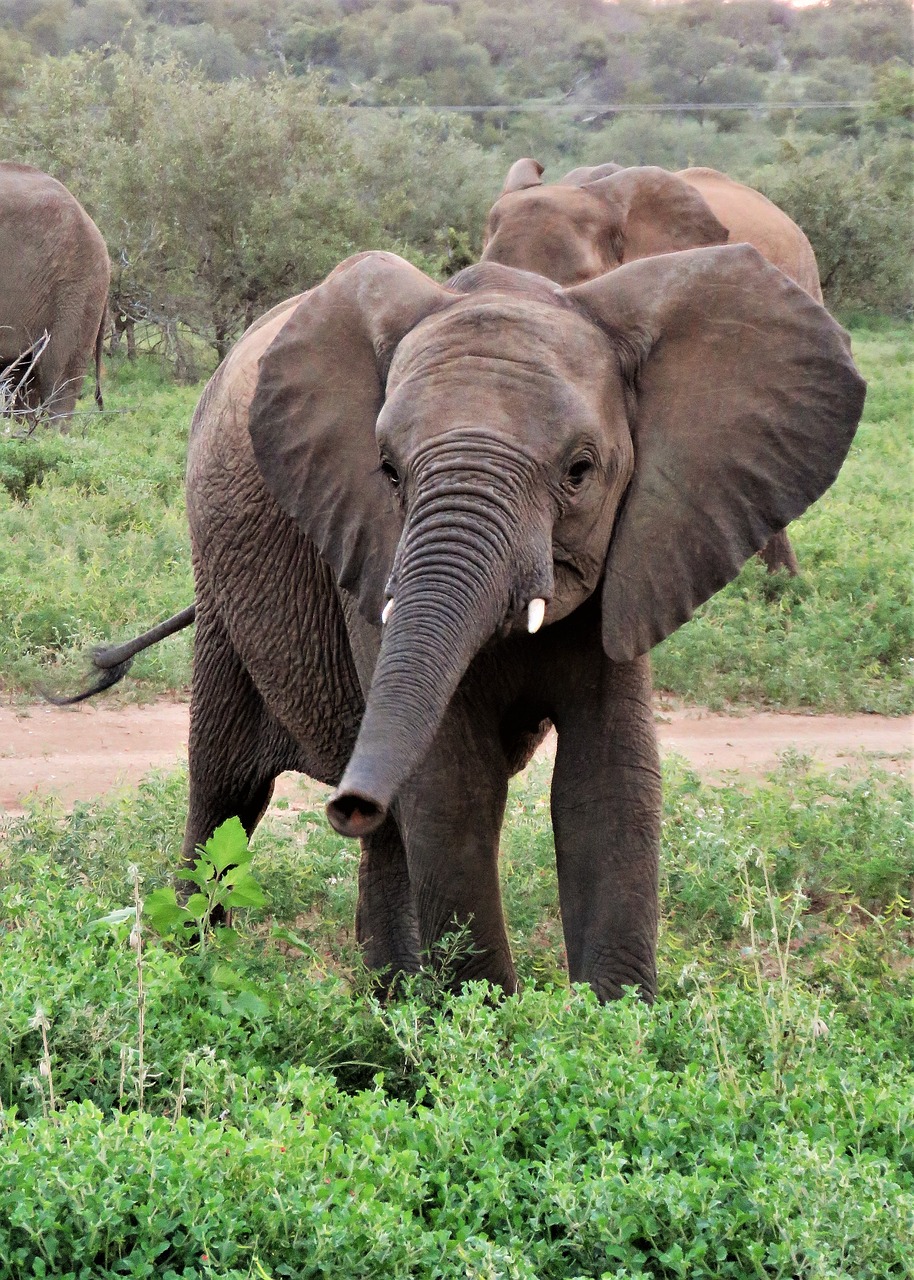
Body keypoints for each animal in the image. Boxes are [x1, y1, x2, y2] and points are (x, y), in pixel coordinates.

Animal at [151, 240, 860, 998]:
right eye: (388, 471)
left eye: (581, 470)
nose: (346, 805)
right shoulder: (366, 544)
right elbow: (453, 783)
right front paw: (484, 1017)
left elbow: (608, 779)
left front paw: (612, 1019)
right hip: (220, 592)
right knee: (225, 790)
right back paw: (195, 966)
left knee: (380, 831)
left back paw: (392, 999)